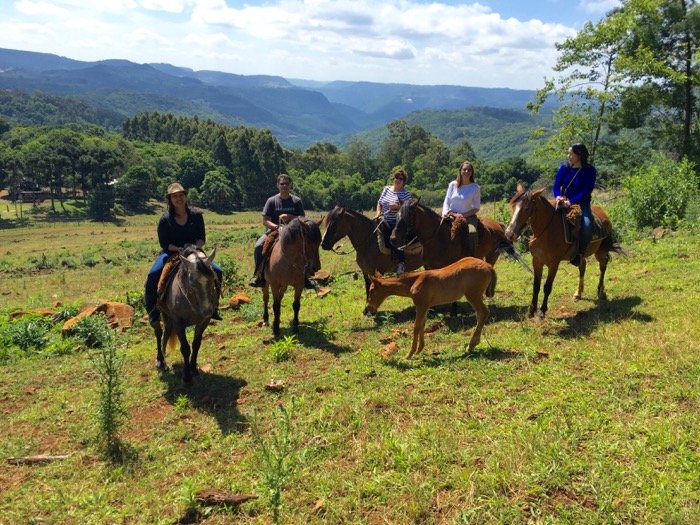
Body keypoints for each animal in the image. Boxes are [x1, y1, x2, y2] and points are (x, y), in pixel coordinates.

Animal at [153, 244, 219, 382]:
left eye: (213, 279)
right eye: (192, 283)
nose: (207, 311)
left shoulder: (203, 321)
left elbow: (196, 344)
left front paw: (193, 369)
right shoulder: (178, 322)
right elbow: (185, 348)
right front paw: (187, 376)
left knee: (166, 333)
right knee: (158, 332)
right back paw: (160, 360)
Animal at [364, 256, 494, 358]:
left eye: (371, 291)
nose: (368, 310)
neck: (414, 281)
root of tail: (488, 266)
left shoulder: (421, 305)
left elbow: (416, 327)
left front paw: (410, 354)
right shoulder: (426, 306)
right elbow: (422, 325)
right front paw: (419, 349)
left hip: (473, 296)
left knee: (483, 313)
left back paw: (471, 345)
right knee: (482, 314)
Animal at [504, 188, 624, 320]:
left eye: (526, 208)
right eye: (512, 206)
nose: (509, 233)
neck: (547, 232)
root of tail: (603, 214)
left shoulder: (554, 264)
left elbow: (547, 287)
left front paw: (542, 311)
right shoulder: (537, 261)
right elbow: (536, 286)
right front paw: (531, 310)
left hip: (601, 251)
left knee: (603, 266)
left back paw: (601, 292)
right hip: (581, 255)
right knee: (583, 266)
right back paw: (578, 293)